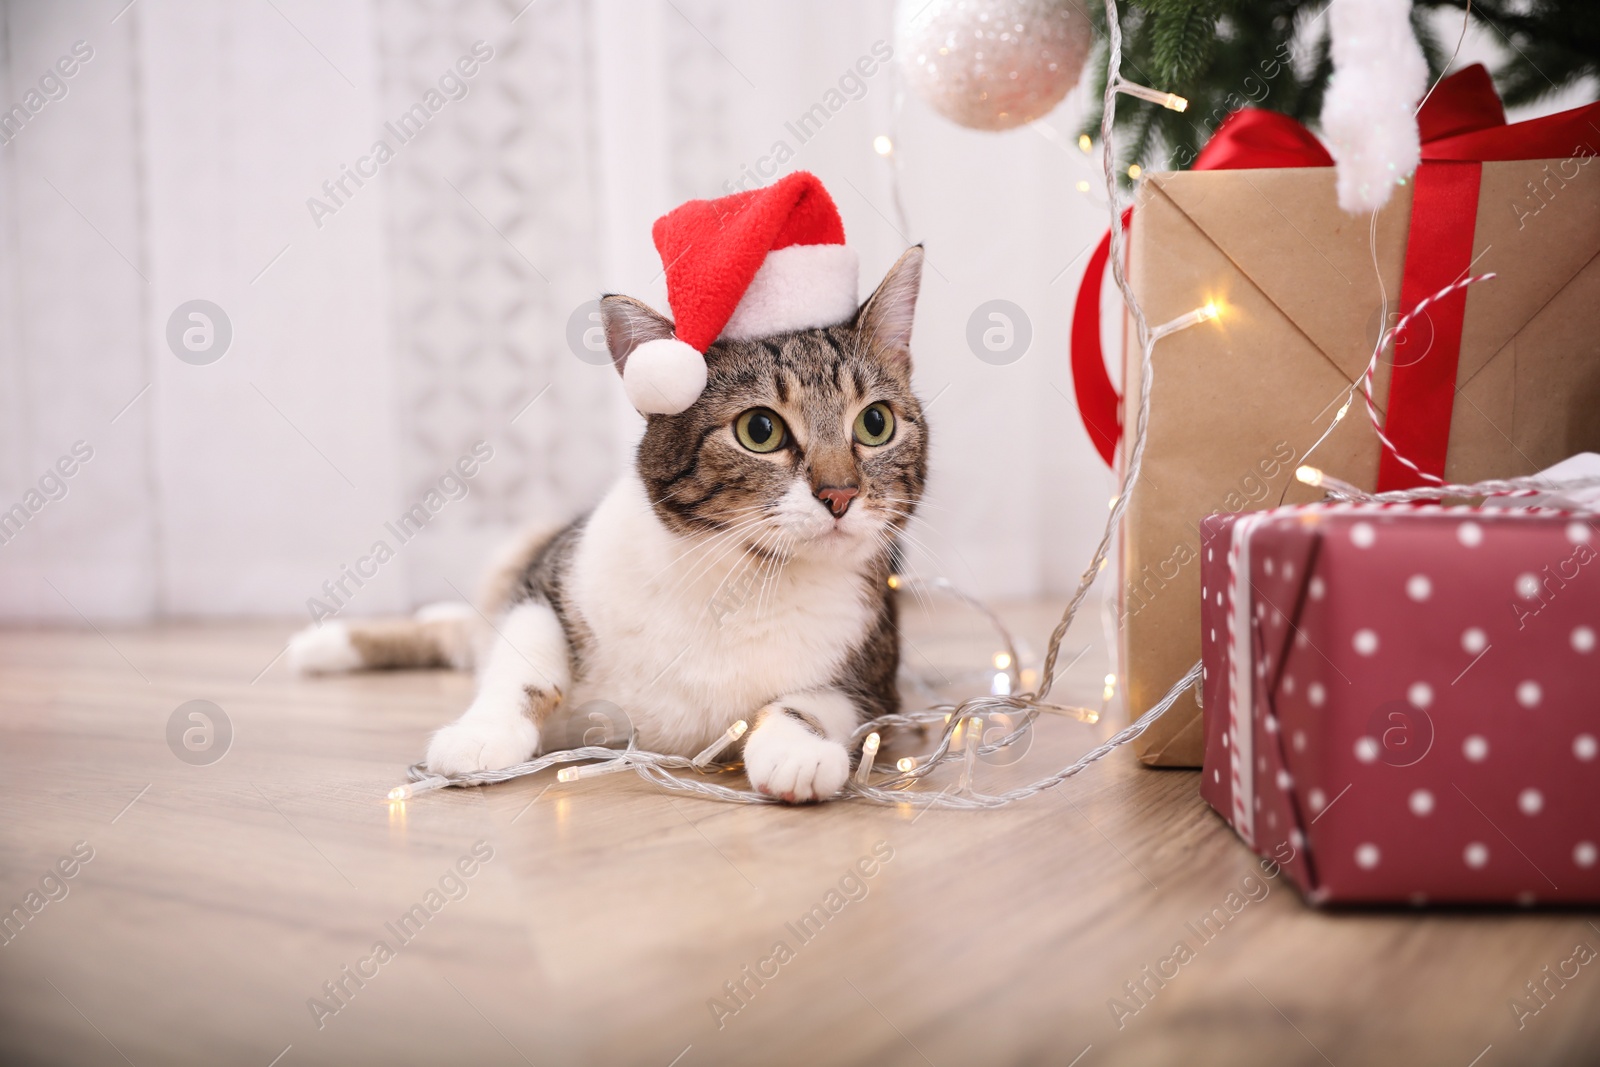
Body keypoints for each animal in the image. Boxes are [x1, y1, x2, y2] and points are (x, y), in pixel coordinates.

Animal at [288, 246, 928, 806]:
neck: (742, 579)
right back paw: (321, 644)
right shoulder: (550, 573)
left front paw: (798, 751)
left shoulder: (875, 674)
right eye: (760, 431)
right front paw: (480, 734)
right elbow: (523, 662)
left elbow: (815, 702)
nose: (840, 494)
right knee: (466, 632)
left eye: (874, 423)